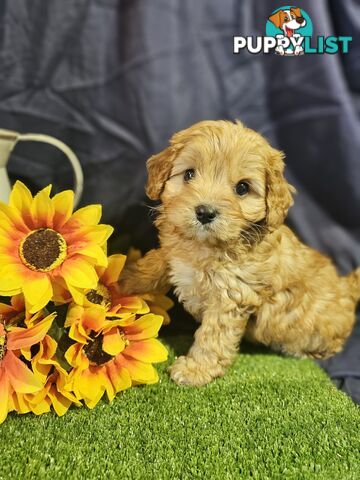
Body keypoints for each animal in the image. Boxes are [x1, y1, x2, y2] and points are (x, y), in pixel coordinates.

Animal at [119, 120, 360, 386]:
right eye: (189, 174)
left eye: (242, 188)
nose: (205, 212)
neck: (205, 246)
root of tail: (348, 289)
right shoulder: (177, 250)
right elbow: (156, 260)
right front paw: (125, 280)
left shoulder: (231, 294)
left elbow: (213, 335)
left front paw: (195, 369)